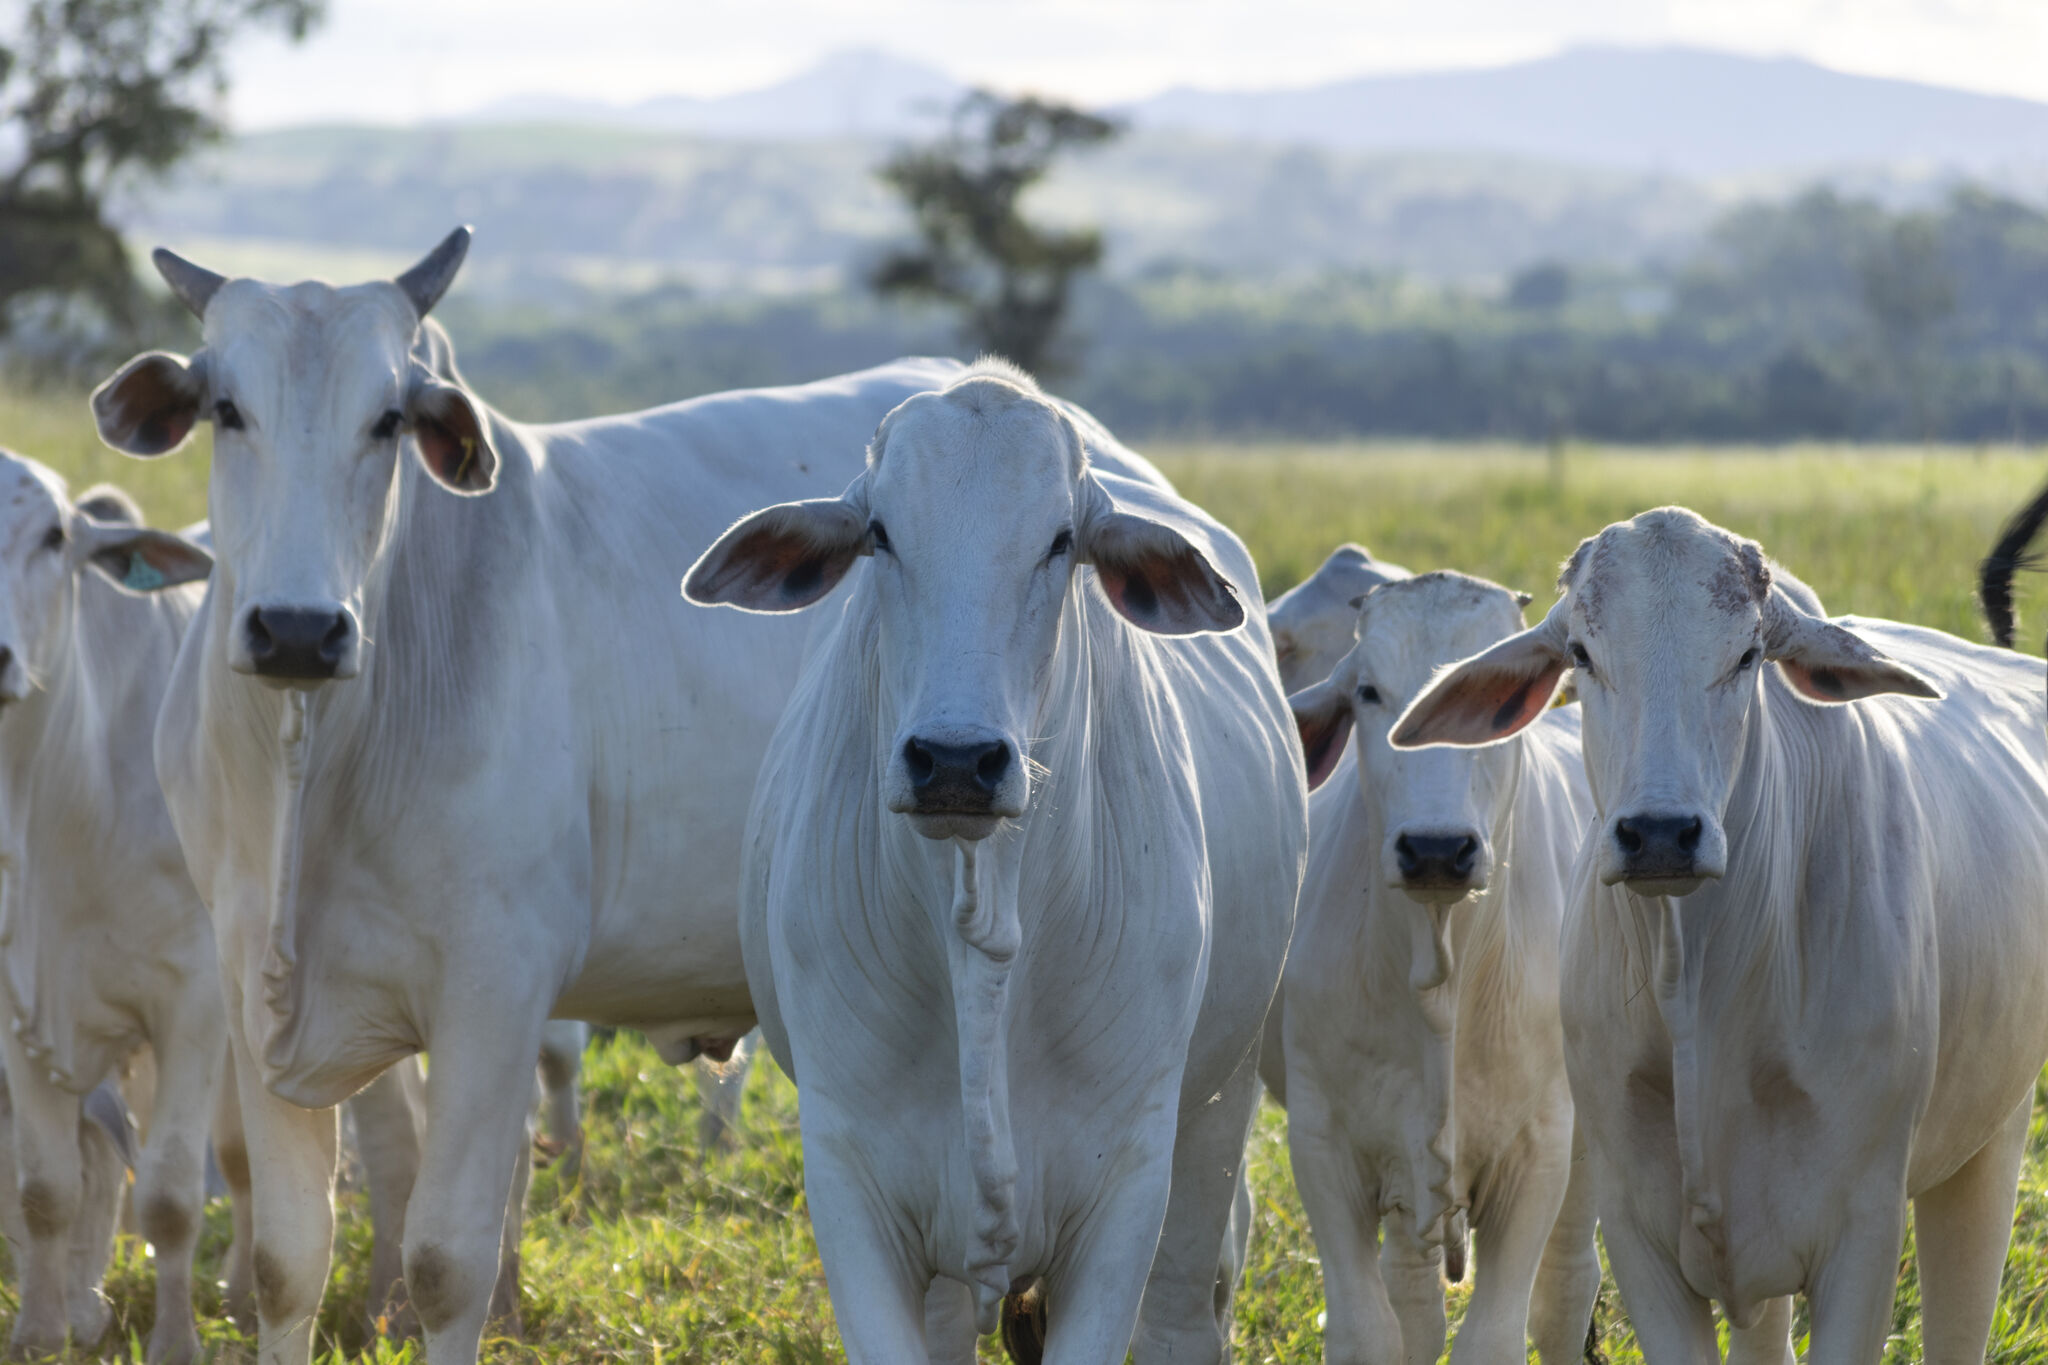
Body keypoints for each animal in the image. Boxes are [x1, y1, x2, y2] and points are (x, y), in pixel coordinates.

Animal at [0, 464, 225, 1358]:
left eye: (55, 537)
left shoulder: (192, 1001)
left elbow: (169, 1194)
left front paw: (175, 1343)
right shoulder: (24, 1008)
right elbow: (47, 1186)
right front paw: (41, 1329)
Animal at [90, 229, 966, 1358]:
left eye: (388, 419)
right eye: (227, 408)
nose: (296, 629)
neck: (315, 752)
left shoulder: (492, 992)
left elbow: (445, 1264)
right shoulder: (247, 986)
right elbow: (287, 1262)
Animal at [679, 362, 1302, 1365]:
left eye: (1061, 540)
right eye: (880, 533)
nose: (956, 760)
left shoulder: (1127, 1189)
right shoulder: (850, 1183)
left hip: (1218, 1108)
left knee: (1182, 1309)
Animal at [1277, 573, 1597, 1358]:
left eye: (1502, 707)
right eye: (1367, 691)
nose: (1434, 849)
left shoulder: (1542, 1152)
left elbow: (1496, 1336)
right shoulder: (1323, 1145)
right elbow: (1367, 1330)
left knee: (1567, 1286)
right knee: (1414, 1298)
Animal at [1392, 509, 2048, 1365]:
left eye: (1746, 656)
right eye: (1583, 654)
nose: (1660, 833)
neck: (1699, 986)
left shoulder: (1863, 1235)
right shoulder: (1639, 1235)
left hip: (1988, 1150)